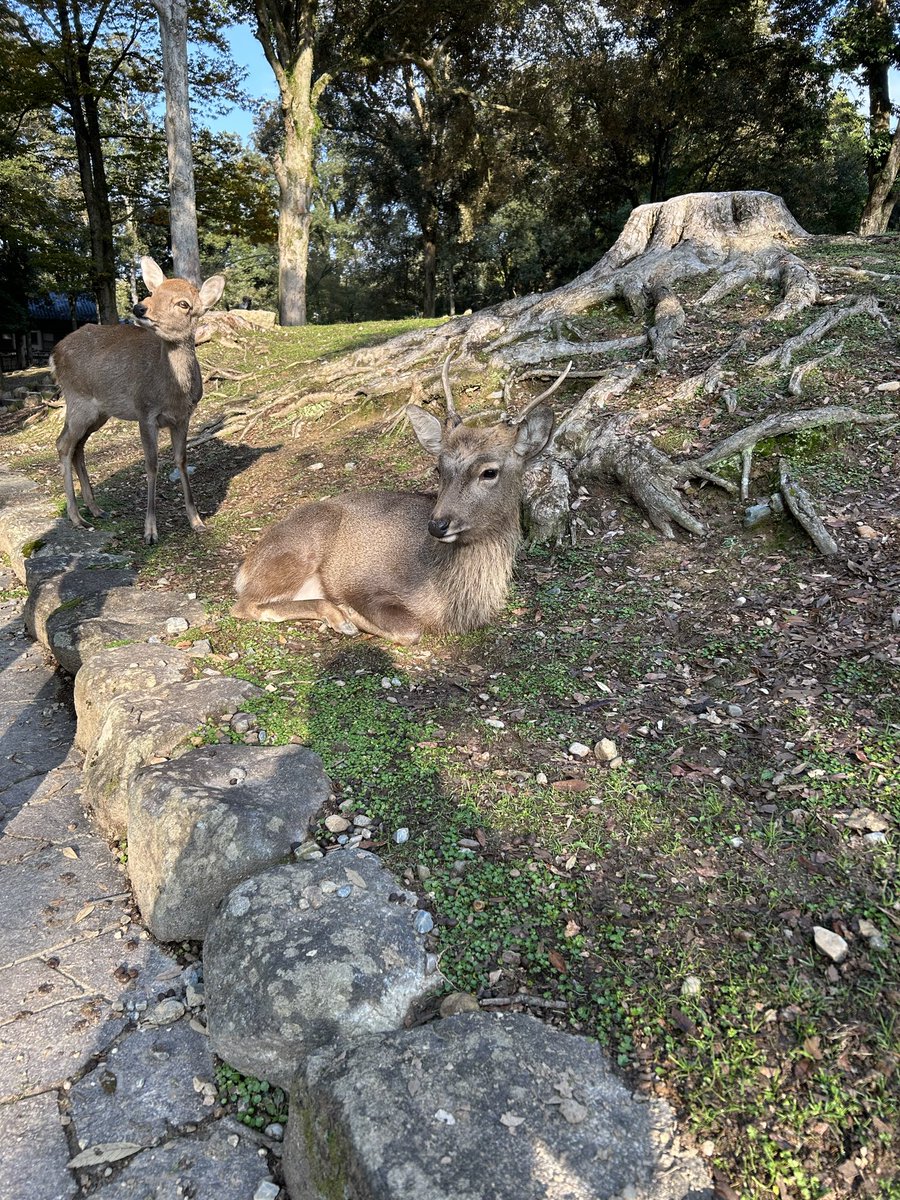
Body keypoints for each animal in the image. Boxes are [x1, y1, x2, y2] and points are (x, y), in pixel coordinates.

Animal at [52, 256, 226, 545]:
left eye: (184, 304)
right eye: (154, 293)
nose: (140, 307)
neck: (172, 393)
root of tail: (53, 355)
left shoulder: (184, 417)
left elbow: (181, 460)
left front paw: (197, 521)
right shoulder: (145, 412)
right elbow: (151, 465)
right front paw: (150, 531)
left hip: (99, 413)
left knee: (78, 446)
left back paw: (96, 509)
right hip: (78, 401)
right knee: (63, 443)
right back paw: (76, 517)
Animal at [232, 359, 571, 645]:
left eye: (489, 471)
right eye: (438, 467)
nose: (437, 525)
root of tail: (245, 568)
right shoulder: (362, 583)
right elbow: (409, 629)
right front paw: (349, 612)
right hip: (303, 546)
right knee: (246, 605)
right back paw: (337, 617)